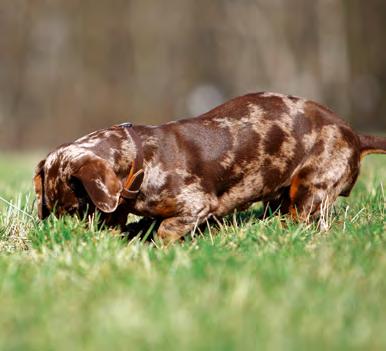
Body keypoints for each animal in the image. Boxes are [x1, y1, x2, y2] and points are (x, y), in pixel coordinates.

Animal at [34, 92, 386, 243]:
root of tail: (355, 134)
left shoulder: (196, 205)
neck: (143, 158)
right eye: (51, 211)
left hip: (310, 190)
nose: (65, 237)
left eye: (76, 209)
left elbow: (166, 230)